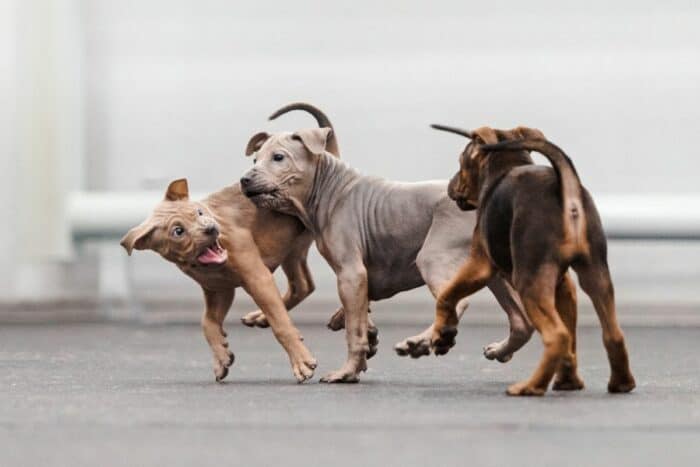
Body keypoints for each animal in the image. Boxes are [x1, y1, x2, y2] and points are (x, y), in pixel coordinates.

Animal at [120, 179, 318, 384]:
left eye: (200, 212)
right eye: (178, 231)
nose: (211, 228)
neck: (203, 266)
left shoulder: (257, 278)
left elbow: (280, 324)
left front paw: (301, 362)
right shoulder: (219, 290)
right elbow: (207, 322)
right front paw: (221, 357)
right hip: (294, 249)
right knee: (303, 286)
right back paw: (260, 317)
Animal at [241, 103, 532, 384]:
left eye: (278, 157)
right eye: (255, 159)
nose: (245, 179)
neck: (330, 189)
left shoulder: (351, 274)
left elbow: (354, 330)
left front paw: (346, 372)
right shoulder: (361, 281)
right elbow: (359, 318)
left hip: (434, 256)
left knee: (457, 303)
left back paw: (422, 343)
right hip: (492, 273)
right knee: (521, 321)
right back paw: (497, 349)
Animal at [430, 126, 636, 396]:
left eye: (461, 162)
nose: (450, 185)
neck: (508, 166)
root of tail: (566, 193)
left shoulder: (479, 266)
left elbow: (446, 295)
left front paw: (440, 333)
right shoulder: (564, 286)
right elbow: (570, 345)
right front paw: (568, 381)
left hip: (528, 283)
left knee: (557, 336)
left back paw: (530, 386)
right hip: (596, 274)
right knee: (612, 334)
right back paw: (621, 383)